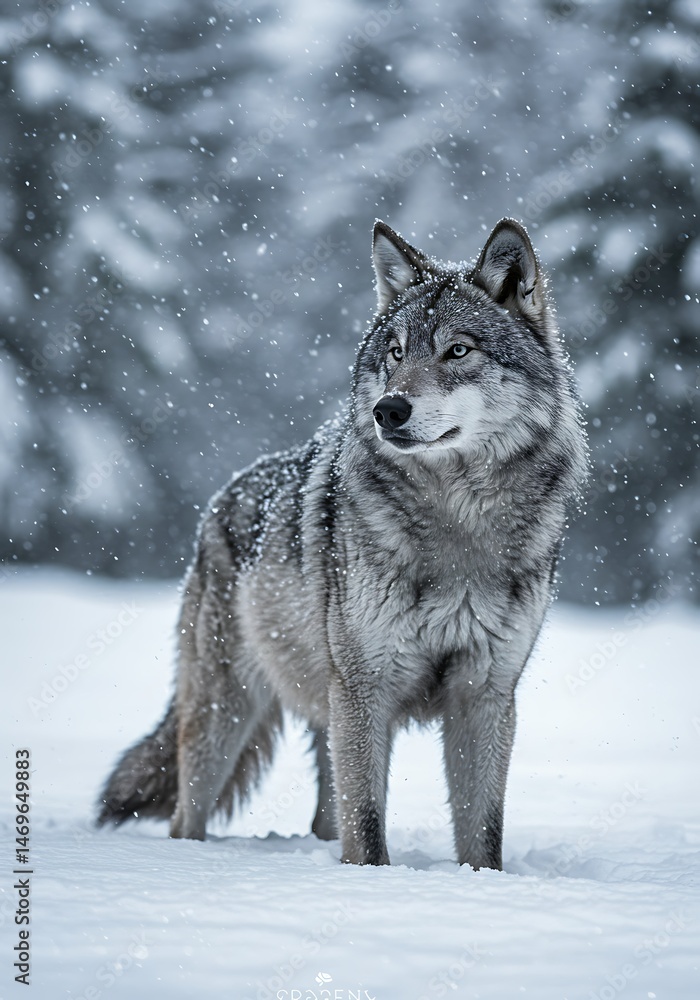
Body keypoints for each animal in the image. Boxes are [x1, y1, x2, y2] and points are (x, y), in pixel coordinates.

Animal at [97, 218, 588, 869]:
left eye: (458, 351)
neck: (458, 525)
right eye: (396, 353)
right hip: (230, 714)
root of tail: (223, 496)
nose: (388, 409)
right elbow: (369, 829)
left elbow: (483, 834)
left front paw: (480, 884)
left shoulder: (485, 695)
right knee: (191, 817)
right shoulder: (365, 688)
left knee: (324, 819)